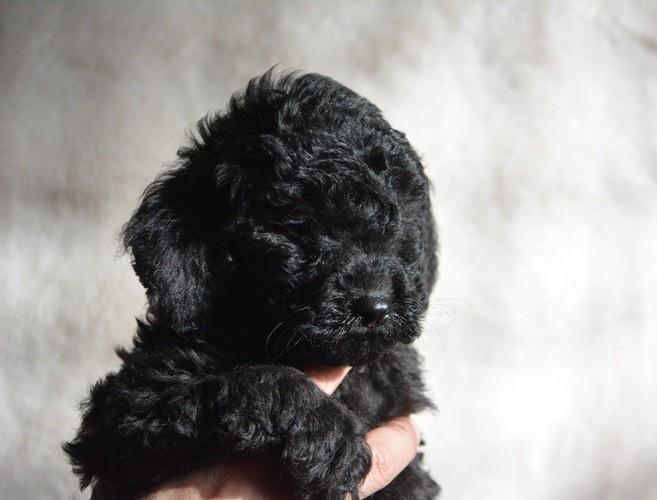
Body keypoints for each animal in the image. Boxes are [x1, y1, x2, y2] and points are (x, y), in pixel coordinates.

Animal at [64, 70, 440, 499]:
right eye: (296, 230)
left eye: (400, 224)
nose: (375, 307)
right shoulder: (126, 414)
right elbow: (260, 379)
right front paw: (327, 434)